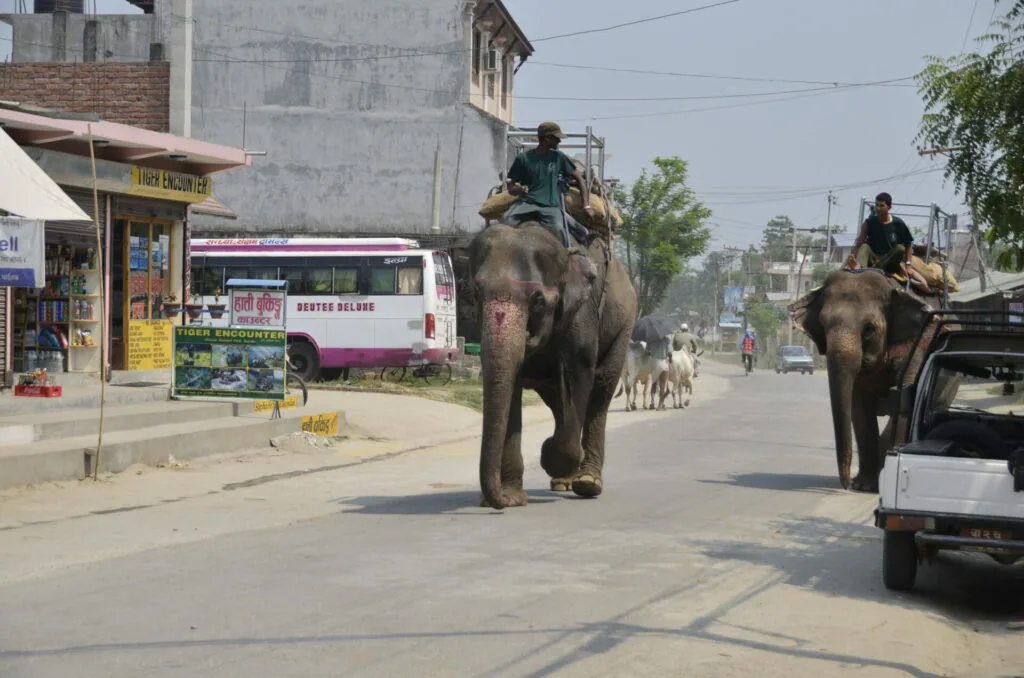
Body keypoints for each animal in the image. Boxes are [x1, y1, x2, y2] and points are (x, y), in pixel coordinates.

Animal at [468, 222, 637, 509]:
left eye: (538, 300)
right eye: (477, 292)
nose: (497, 501)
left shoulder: (582, 315)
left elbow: (578, 375)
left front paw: (548, 455)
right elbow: (511, 386)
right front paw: (513, 497)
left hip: (624, 326)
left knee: (600, 391)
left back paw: (587, 481)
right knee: (558, 400)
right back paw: (565, 480)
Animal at [789, 268, 951, 492]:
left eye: (868, 329)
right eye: (822, 325)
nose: (845, 484)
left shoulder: (916, 347)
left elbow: (905, 399)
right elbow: (859, 409)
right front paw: (864, 485)